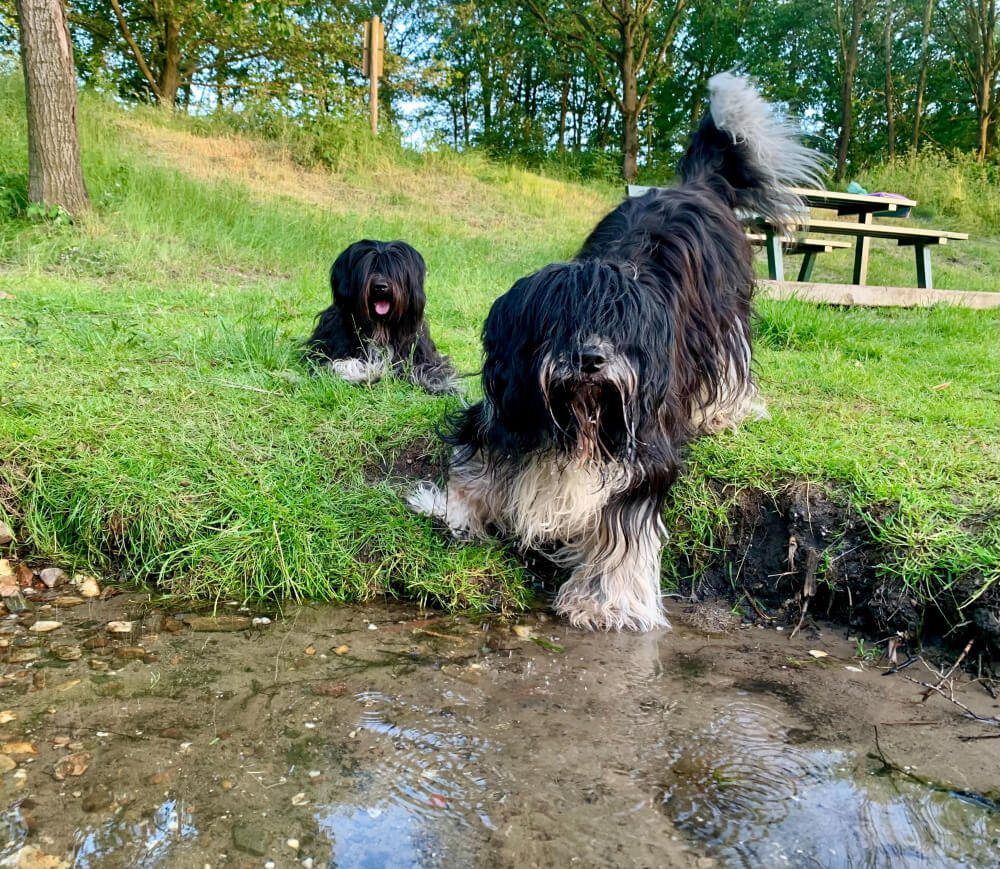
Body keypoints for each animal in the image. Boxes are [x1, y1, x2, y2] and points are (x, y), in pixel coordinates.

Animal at [306, 241, 458, 396]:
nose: (380, 286)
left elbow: (432, 368)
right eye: (369, 267)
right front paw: (367, 373)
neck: (381, 328)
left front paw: (438, 384)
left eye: (394, 269)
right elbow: (343, 364)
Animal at [406, 74, 820, 632]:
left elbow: (622, 532)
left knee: (732, 364)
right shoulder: (503, 414)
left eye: (619, 332)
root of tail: (692, 185)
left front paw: (604, 601)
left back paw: (725, 413)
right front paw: (449, 508)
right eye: (558, 324)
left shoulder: (644, 455)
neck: (577, 417)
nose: (591, 359)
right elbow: (475, 467)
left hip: (726, 318)